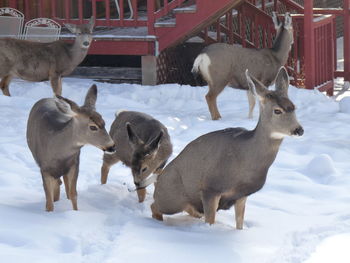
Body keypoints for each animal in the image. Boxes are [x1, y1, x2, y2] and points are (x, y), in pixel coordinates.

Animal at [27, 84, 116, 212]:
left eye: (104, 122)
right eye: (93, 127)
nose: (112, 146)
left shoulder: (74, 164)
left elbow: (73, 193)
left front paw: (75, 212)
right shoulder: (44, 169)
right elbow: (49, 201)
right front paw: (49, 212)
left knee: (64, 185)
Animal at [150, 67, 304, 230]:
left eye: (294, 107)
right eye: (277, 110)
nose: (299, 130)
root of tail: (158, 180)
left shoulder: (242, 195)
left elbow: (239, 224)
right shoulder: (211, 187)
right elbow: (210, 221)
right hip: (172, 198)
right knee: (154, 206)